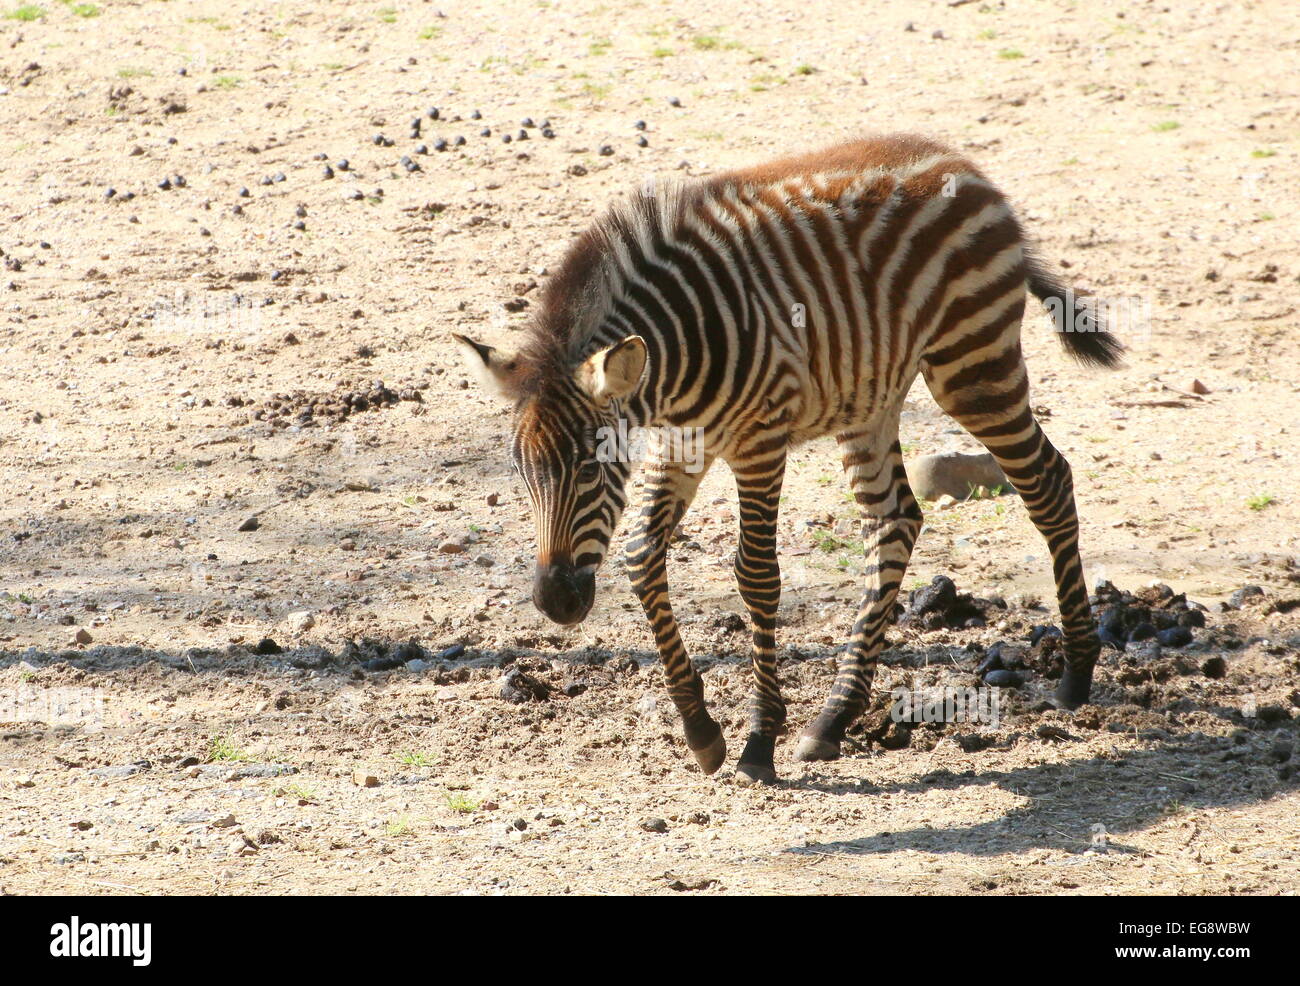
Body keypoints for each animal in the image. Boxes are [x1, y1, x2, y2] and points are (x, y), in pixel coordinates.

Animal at [454, 134, 1122, 785]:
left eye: (591, 469)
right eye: (523, 477)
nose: (554, 604)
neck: (675, 353)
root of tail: (969, 169)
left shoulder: (759, 443)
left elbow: (756, 575)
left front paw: (758, 739)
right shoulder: (681, 443)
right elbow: (643, 558)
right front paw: (700, 729)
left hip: (973, 365)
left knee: (1047, 482)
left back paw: (1075, 674)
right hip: (869, 394)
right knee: (894, 521)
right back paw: (834, 718)